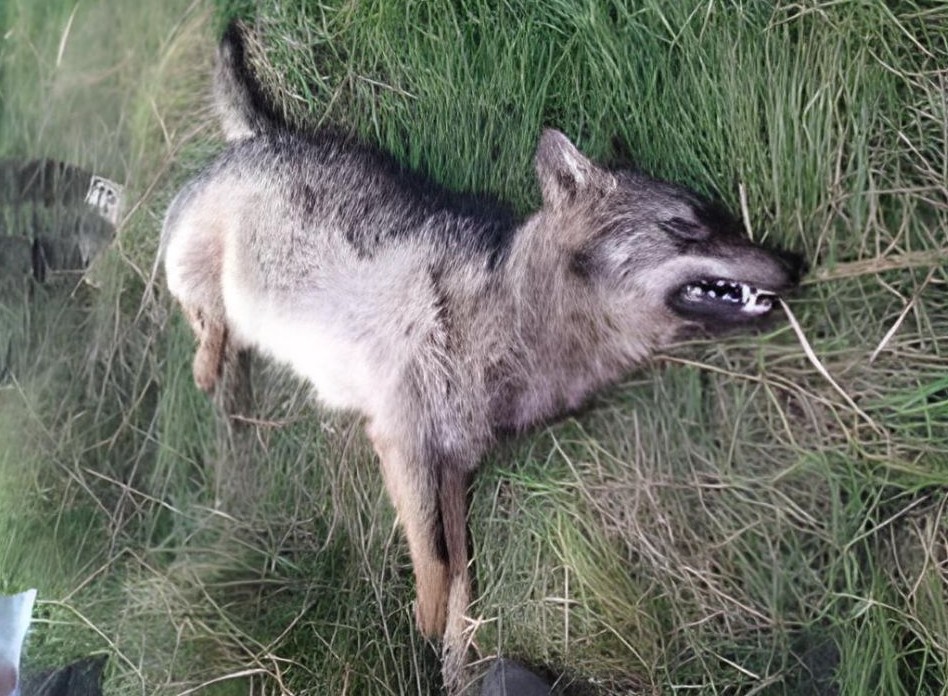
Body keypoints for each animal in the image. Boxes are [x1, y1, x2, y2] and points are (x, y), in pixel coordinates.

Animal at [161, 21, 801, 687]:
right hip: (187, 271)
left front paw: (456, 649)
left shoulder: (453, 465)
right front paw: (428, 619)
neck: (514, 324)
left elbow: (462, 568)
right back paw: (208, 366)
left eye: (722, 220)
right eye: (685, 225)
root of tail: (268, 138)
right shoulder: (401, 444)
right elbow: (436, 559)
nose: (795, 264)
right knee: (205, 319)